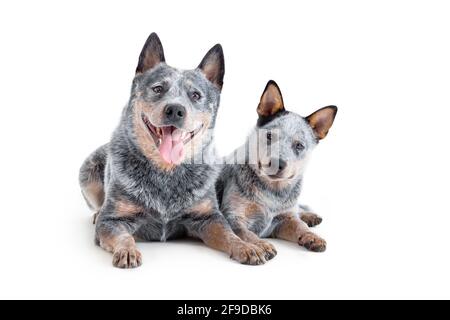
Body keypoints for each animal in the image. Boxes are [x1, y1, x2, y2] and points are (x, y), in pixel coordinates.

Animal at [79, 32, 274, 268]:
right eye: (158, 89)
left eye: (196, 95)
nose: (175, 109)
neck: (167, 172)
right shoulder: (112, 220)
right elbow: (123, 235)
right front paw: (127, 250)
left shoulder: (209, 217)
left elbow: (228, 234)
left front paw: (246, 246)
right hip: (87, 171)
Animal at [216, 81, 336, 254]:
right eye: (269, 135)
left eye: (299, 145)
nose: (277, 163)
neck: (272, 194)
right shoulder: (233, 216)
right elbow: (245, 233)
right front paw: (260, 244)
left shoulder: (284, 219)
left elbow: (300, 225)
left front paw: (312, 236)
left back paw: (310, 215)